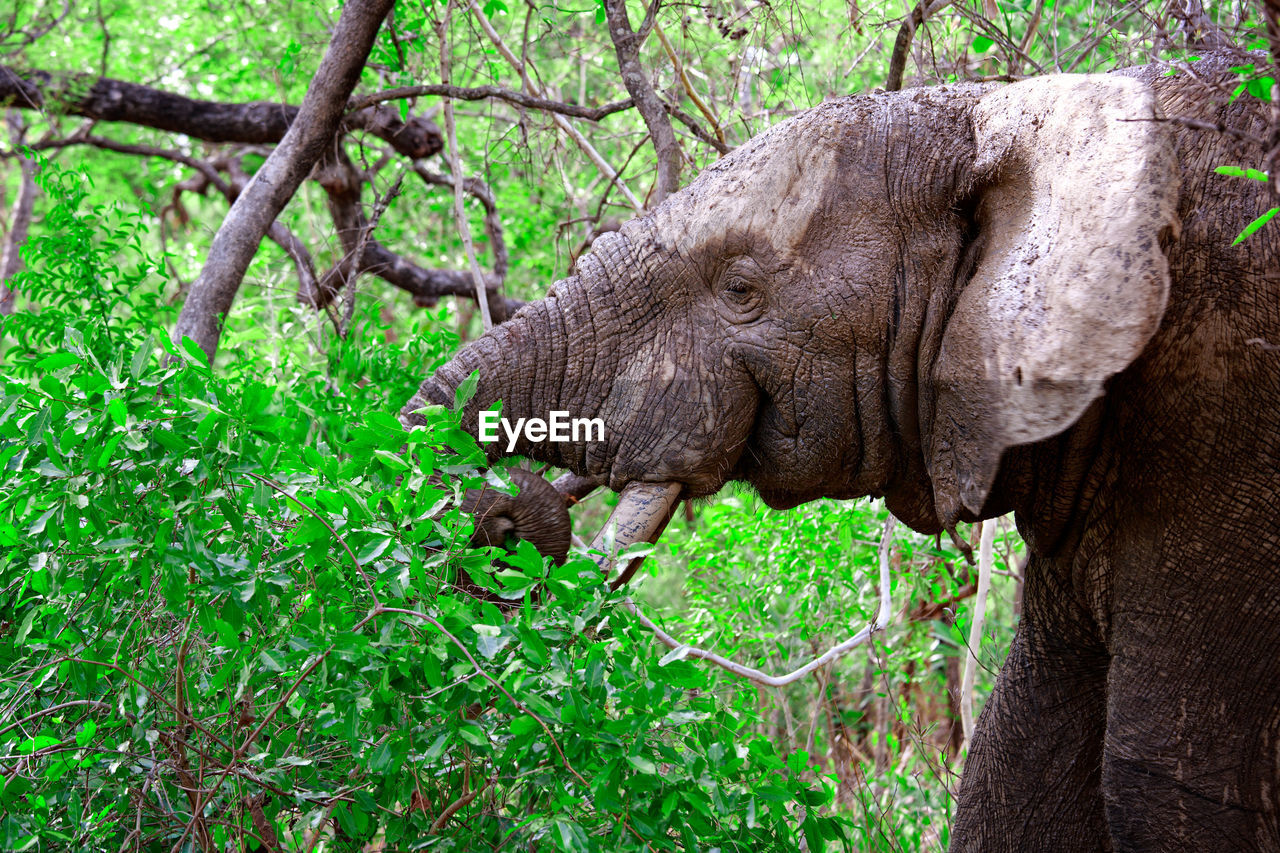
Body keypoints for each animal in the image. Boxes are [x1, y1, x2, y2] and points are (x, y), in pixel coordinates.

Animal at [401, 54, 1280, 850]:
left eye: (740, 290)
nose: (502, 518)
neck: (1004, 113)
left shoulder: (1219, 414)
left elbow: (1160, 786)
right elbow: (1019, 761)